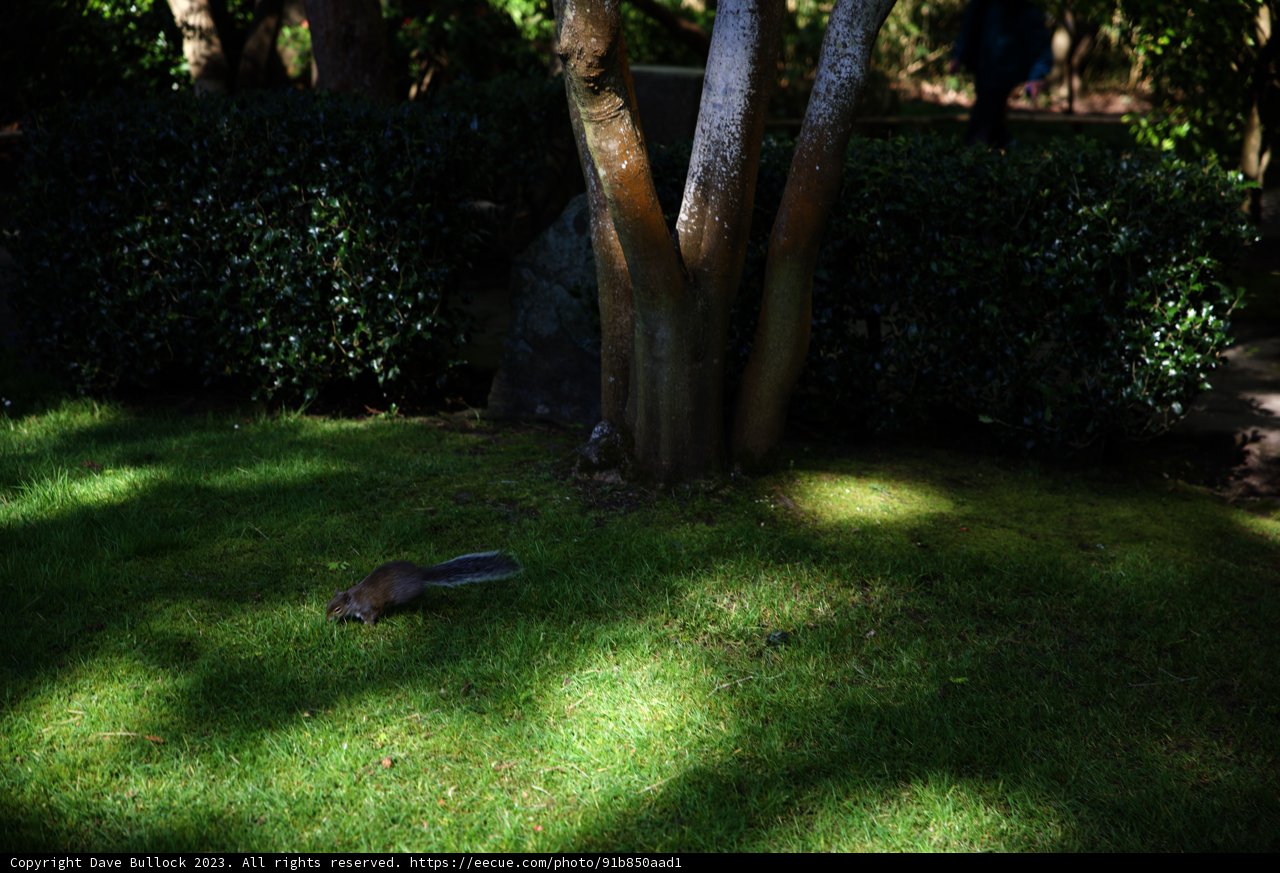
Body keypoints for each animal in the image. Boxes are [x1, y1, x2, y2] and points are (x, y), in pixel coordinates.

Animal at [326, 551, 522, 625]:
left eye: (337, 609)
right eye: (328, 605)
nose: (326, 619)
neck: (353, 599)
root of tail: (420, 573)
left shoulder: (369, 607)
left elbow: (373, 615)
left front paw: (368, 627)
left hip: (407, 593)